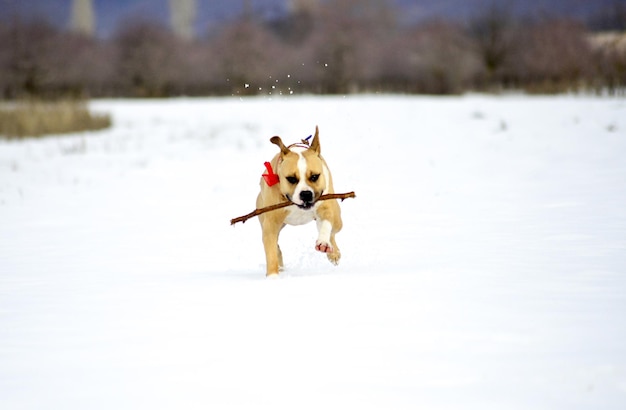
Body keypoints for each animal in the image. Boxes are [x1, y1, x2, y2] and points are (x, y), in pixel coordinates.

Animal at [255, 126, 342, 278]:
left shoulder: (325, 207)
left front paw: (323, 242)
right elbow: (271, 250)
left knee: (332, 232)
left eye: (315, 176)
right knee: (275, 246)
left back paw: (333, 253)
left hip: (338, 220)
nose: (306, 194)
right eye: (291, 179)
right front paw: (272, 276)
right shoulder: (271, 223)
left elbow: (326, 224)